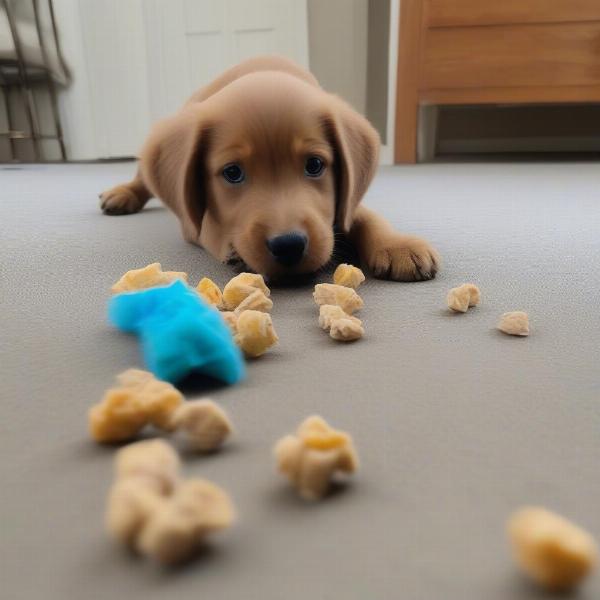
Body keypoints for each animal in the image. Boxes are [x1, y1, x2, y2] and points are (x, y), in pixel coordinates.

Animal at [101, 56, 438, 282]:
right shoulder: (194, 223)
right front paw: (234, 250)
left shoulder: (345, 199)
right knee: (143, 177)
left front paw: (396, 245)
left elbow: (362, 215)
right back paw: (122, 194)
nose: (288, 245)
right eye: (233, 173)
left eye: (315, 165)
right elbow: (209, 226)